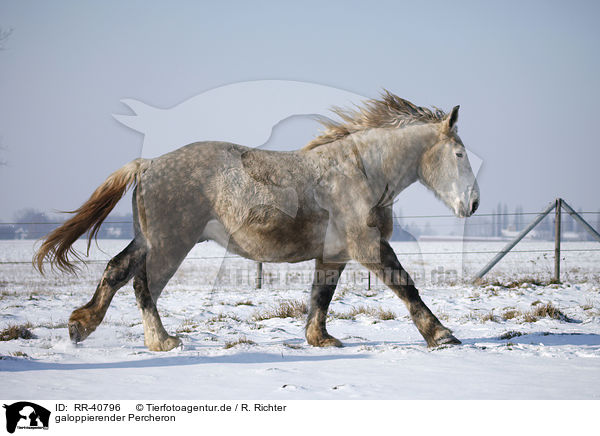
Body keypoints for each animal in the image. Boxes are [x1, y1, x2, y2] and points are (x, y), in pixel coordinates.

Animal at [36, 91, 478, 350]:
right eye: (459, 154)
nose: (473, 203)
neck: (358, 170)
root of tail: (148, 164)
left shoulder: (334, 254)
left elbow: (321, 297)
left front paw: (321, 339)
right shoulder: (368, 247)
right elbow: (406, 286)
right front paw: (441, 335)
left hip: (150, 239)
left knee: (116, 270)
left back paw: (80, 326)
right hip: (170, 244)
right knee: (143, 285)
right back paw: (162, 341)